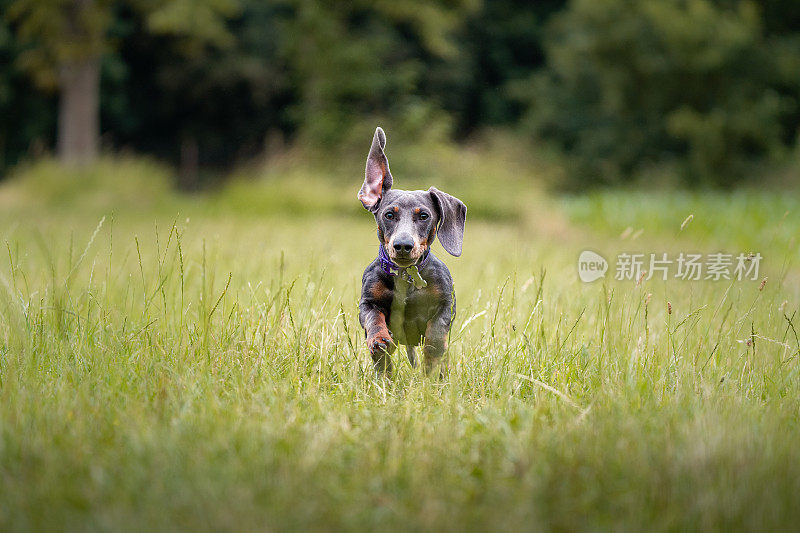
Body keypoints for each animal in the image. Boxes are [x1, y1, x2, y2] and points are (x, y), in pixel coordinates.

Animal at [358, 125, 468, 374]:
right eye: (389, 214)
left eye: (424, 216)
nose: (403, 245)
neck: (405, 277)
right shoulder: (367, 303)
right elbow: (373, 318)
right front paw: (379, 338)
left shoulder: (446, 305)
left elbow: (436, 333)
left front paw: (432, 356)